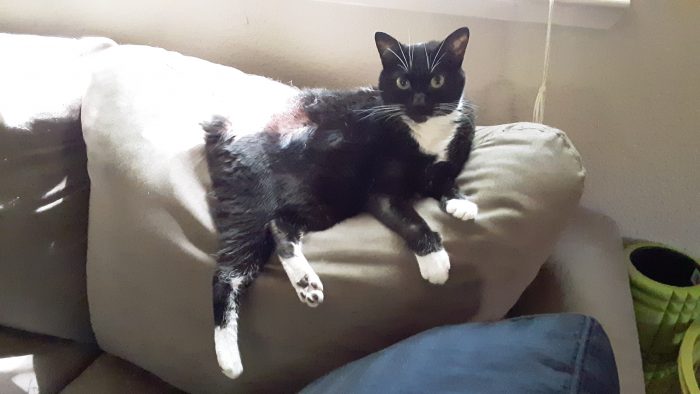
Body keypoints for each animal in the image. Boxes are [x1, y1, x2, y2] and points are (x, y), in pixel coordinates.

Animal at [200, 26, 478, 378]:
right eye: (402, 82)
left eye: (437, 80)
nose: (418, 104)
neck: (425, 133)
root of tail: (221, 124)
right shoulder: (380, 192)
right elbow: (410, 219)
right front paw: (435, 260)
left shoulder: (446, 160)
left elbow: (444, 179)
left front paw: (461, 201)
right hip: (265, 193)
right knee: (228, 272)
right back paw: (230, 362)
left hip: (322, 200)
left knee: (279, 226)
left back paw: (306, 285)